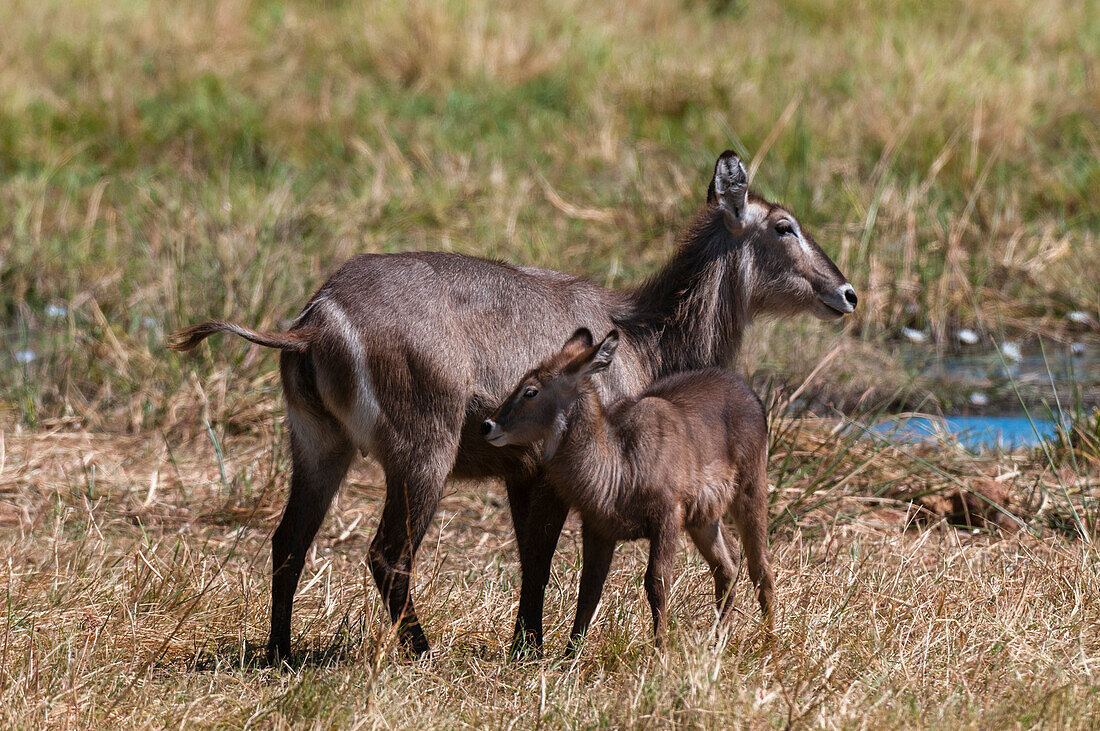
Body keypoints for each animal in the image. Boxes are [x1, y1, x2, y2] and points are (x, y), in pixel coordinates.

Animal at [486, 327, 770, 646]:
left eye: (531, 391)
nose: (488, 425)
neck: (620, 466)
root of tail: (747, 391)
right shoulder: (598, 528)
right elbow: (589, 591)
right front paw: (570, 654)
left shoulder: (668, 515)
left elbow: (657, 582)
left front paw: (660, 648)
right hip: (704, 518)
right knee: (728, 565)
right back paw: (717, 642)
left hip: (750, 489)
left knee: (761, 567)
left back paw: (771, 643)